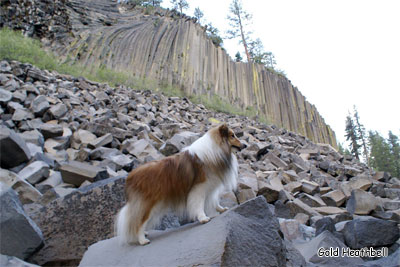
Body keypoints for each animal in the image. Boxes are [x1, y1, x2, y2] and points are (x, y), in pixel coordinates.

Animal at [115, 124, 244, 246]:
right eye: (232, 136)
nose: (244, 146)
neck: (215, 150)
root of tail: (129, 177)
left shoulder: (210, 186)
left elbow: (214, 201)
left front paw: (221, 209)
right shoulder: (199, 188)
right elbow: (199, 205)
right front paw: (203, 218)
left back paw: (144, 234)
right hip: (147, 204)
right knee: (139, 222)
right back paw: (142, 240)